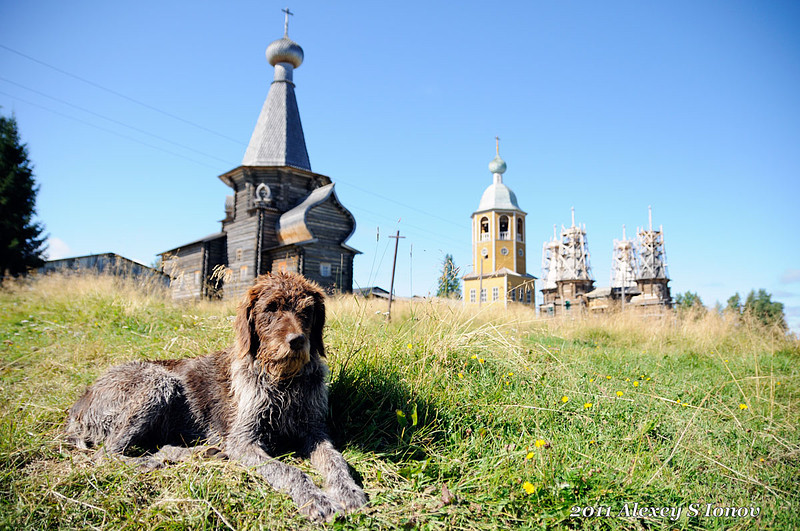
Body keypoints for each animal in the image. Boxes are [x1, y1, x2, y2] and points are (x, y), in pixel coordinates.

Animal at [67, 272, 368, 520]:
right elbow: (288, 470)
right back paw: (152, 461)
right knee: (107, 454)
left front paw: (348, 491)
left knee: (158, 447)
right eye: (270, 308)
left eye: (307, 311)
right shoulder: (243, 441)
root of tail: (79, 404)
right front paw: (315, 499)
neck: (283, 382)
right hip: (158, 382)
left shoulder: (314, 431)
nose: (297, 341)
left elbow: (336, 461)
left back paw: (199, 452)